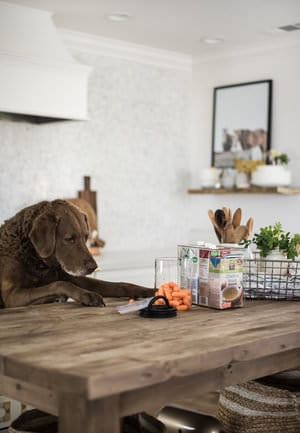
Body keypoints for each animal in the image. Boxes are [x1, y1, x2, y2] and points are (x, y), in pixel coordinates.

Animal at [0, 199, 155, 308]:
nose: (93, 267)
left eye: (86, 236)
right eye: (70, 239)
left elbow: (121, 285)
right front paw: (87, 295)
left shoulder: (72, 276)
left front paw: (150, 290)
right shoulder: (12, 296)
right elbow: (59, 284)